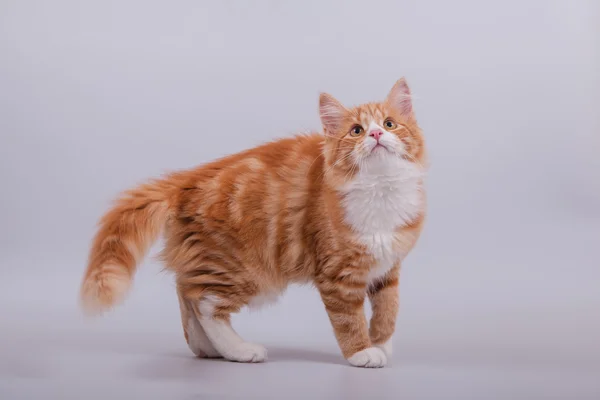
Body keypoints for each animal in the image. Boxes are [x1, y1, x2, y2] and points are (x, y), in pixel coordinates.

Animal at [81, 76, 426, 368]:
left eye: (390, 124)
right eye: (356, 130)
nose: (377, 134)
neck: (380, 190)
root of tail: (186, 180)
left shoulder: (388, 267)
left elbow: (388, 310)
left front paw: (381, 344)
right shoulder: (337, 274)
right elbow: (348, 319)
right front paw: (361, 352)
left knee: (186, 290)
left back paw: (204, 347)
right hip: (242, 269)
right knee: (204, 303)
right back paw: (238, 350)